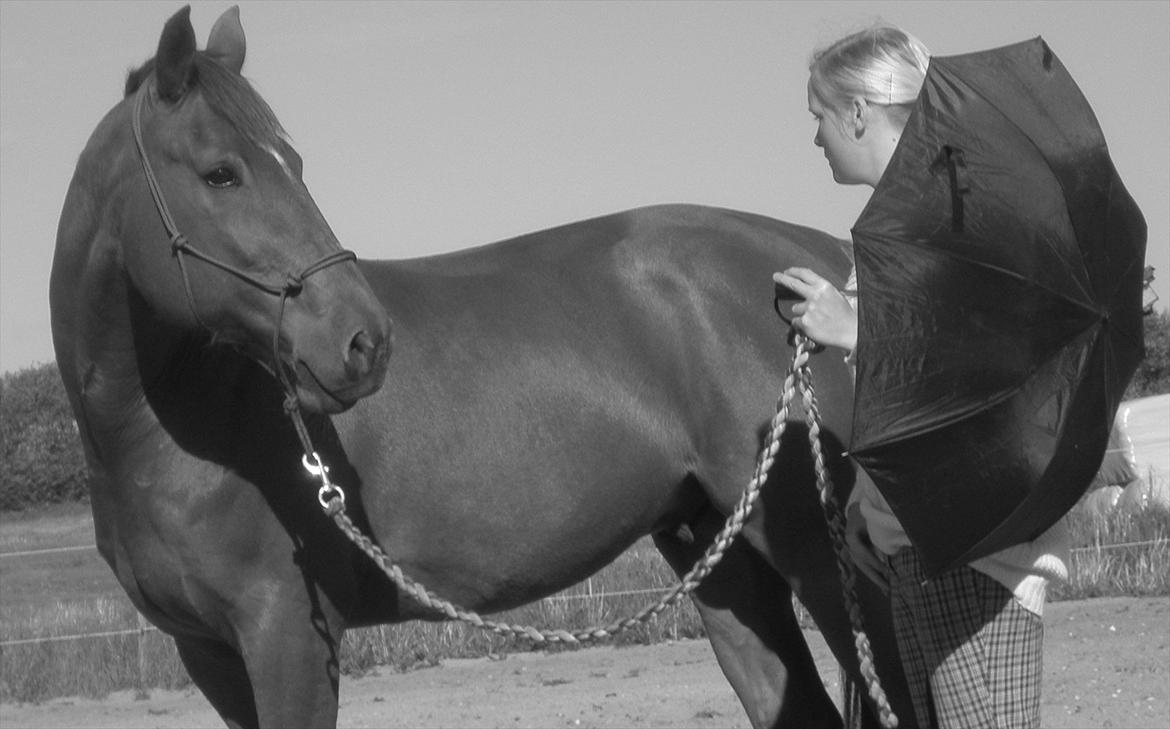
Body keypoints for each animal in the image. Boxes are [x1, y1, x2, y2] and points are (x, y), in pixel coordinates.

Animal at [52, 7, 912, 729]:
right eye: (220, 172)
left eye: (292, 161)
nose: (364, 340)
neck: (174, 432)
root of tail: (825, 265)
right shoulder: (210, 654)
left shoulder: (287, 635)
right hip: (720, 554)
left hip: (825, 558)